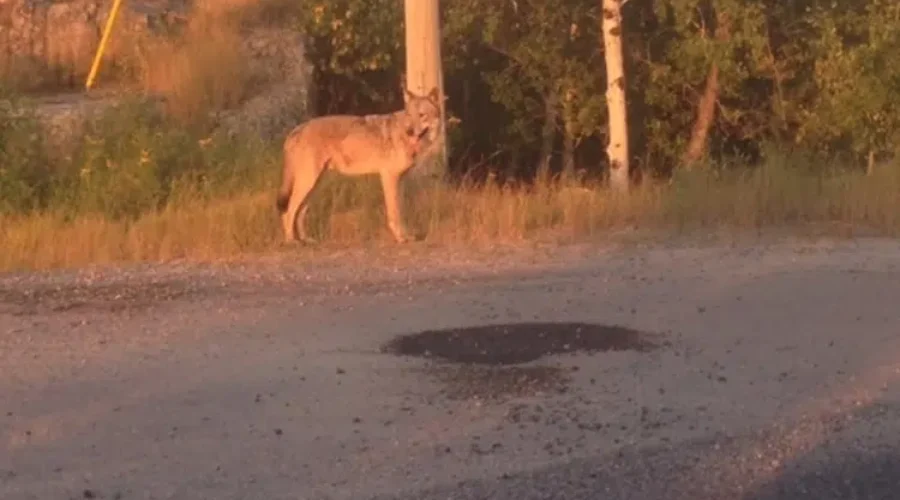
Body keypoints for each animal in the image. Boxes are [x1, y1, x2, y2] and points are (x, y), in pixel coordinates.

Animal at [275, 86, 443, 244]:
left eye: (421, 115)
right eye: (410, 116)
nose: (410, 131)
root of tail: (296, 129)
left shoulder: (400, 180)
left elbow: (400, 211)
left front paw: (406, 236)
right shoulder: (389, 177)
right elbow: (393, 212)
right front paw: (400, 238)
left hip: (313, 185)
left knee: (300, 212)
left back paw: (306, 239)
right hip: (308, 182)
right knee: (288, 212)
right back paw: (291, 241)